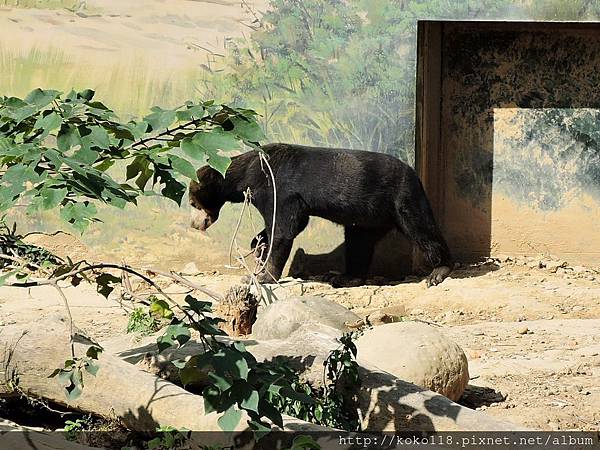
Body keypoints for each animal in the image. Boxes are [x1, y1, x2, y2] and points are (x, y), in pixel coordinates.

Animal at [190, 142, 452, 286]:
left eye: (193, 203)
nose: (195, 225)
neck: (248, 174)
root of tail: (413, 172)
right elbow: (285, 226)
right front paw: (258, 247)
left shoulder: (278, 188)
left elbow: (285, 227)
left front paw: (263, 275)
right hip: (368, 216)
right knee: (359, 243)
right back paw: (346, 277)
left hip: (400, 198)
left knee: (420, 228)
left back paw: (439, 270)